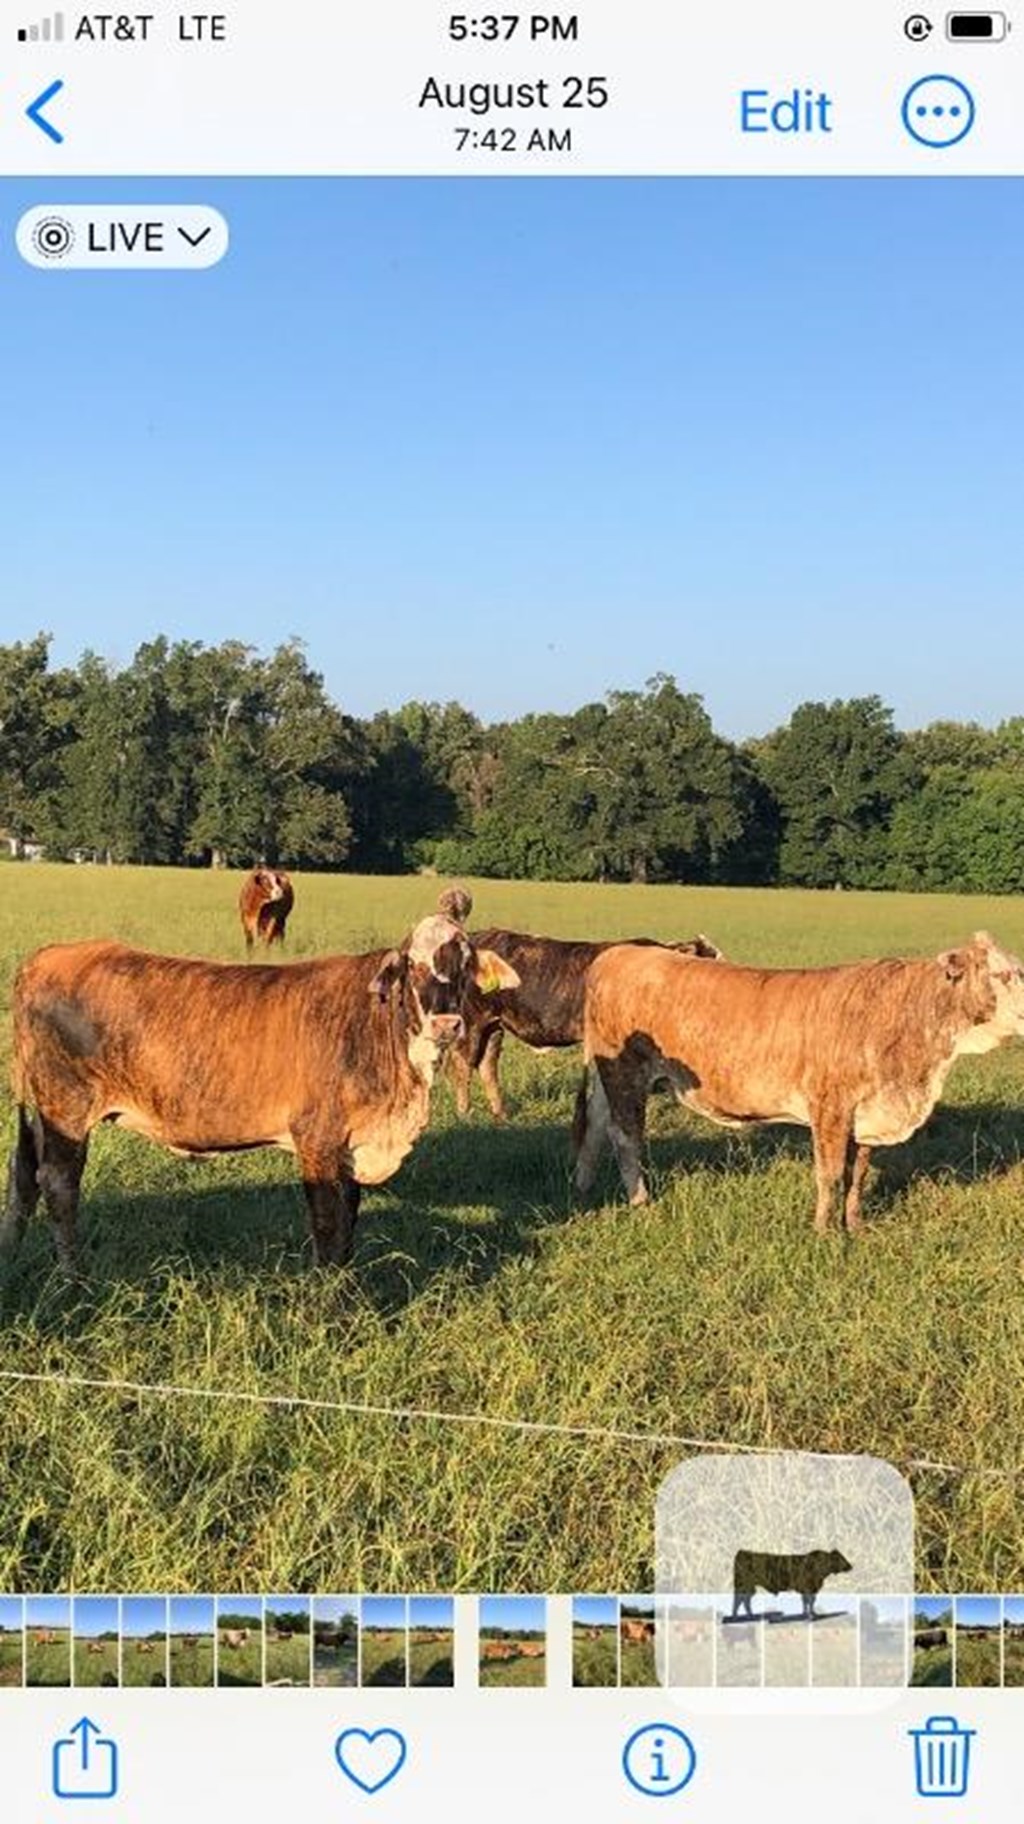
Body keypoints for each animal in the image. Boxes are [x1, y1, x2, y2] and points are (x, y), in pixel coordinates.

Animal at [3, 912, 518, 1284]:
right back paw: (74, 1279)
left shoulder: (351, 1147)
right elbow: (328, 1226)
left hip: (41, 1115)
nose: (447, 1024)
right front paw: (329, 1304)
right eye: (413, 965)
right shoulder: (318, 1142)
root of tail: (48, 957)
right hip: (65, 1110)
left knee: (23, 1174)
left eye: (465, 966)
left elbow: (348, 1225)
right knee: (59, 1185)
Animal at [569, 926, 1022, 1240]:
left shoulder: (867, 1115)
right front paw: (823, 1232)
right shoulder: (830, 1107)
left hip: (608, 1075)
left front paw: (855, 1225)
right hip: (626, 1074)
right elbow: (830, 1174)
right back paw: (641, 1202)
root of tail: (620, 953)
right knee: (625, 1136)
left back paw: (583, 1187)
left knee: (595, 1126)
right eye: (1001, 975)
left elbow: (857, 1174)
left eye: (1018, 970)